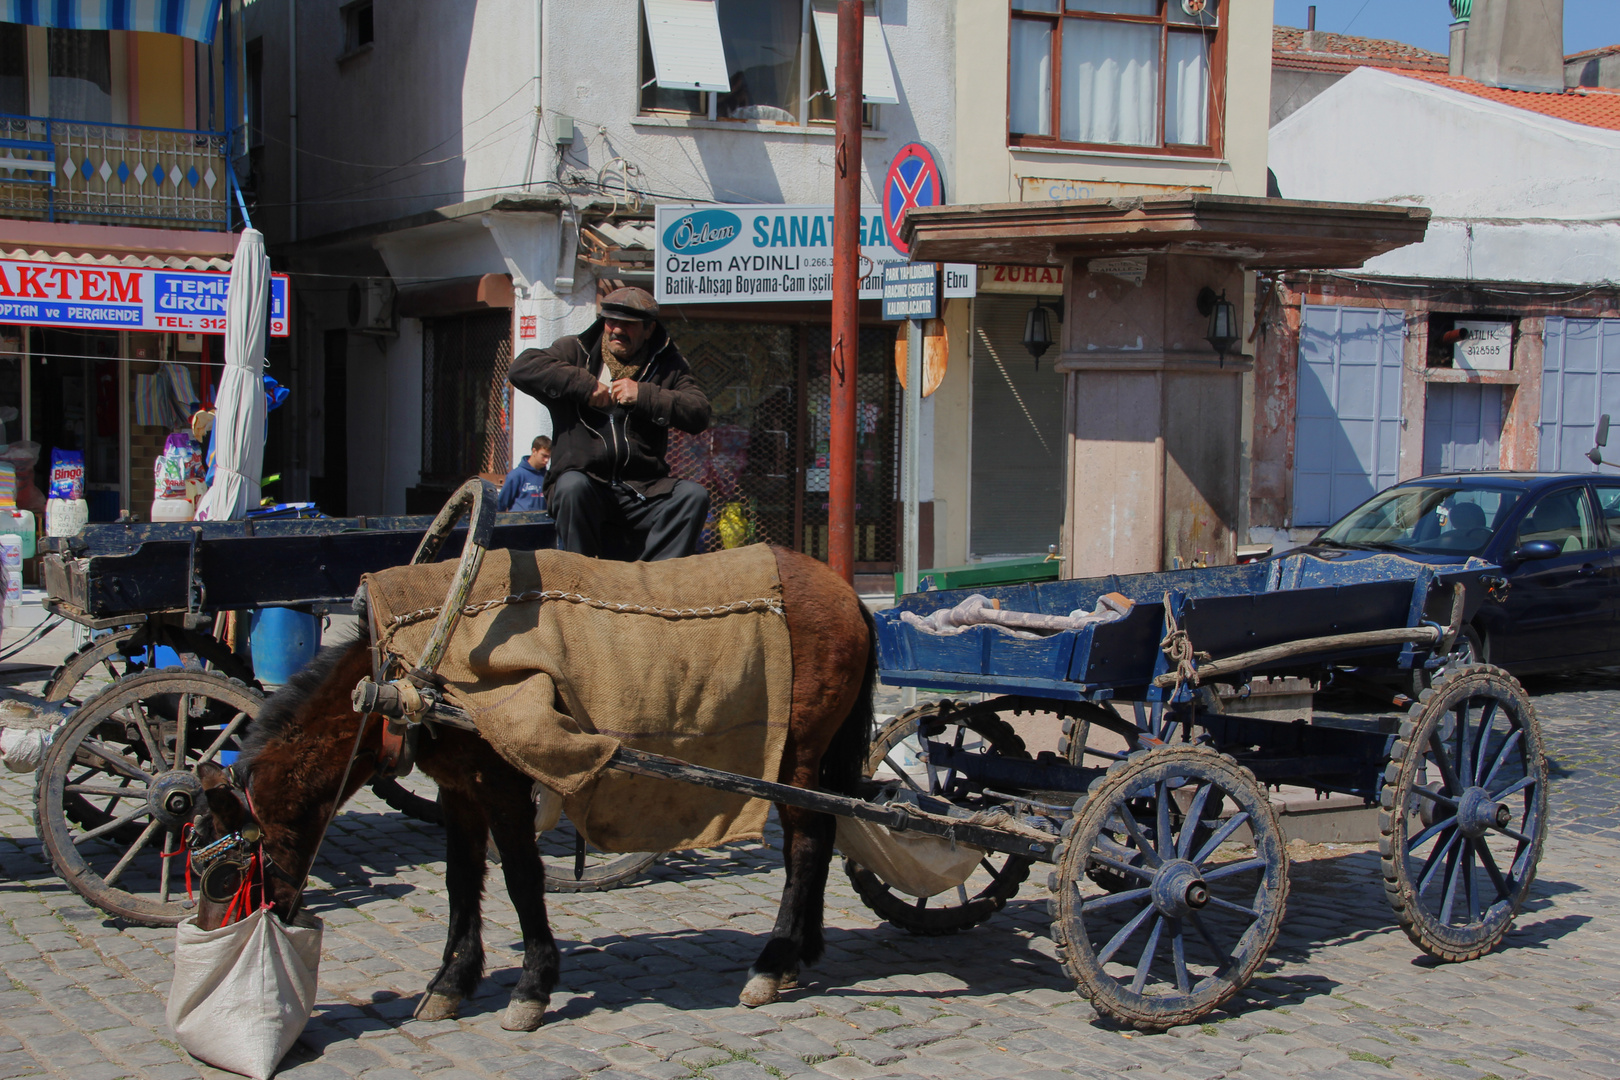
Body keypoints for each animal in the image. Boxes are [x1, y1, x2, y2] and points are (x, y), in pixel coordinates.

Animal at [186, 550, 874, 1029]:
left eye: (222, 876)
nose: (212, 942)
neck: (409, 675)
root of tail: (847, 594)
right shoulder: (459, 792)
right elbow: (461, 880)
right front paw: (451, 983)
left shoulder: (503, 786)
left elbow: (521, 879)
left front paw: (532, 987)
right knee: (821, 836)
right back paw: (800, 952)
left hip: (793, 759)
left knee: (806, 844)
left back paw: (773, 961)